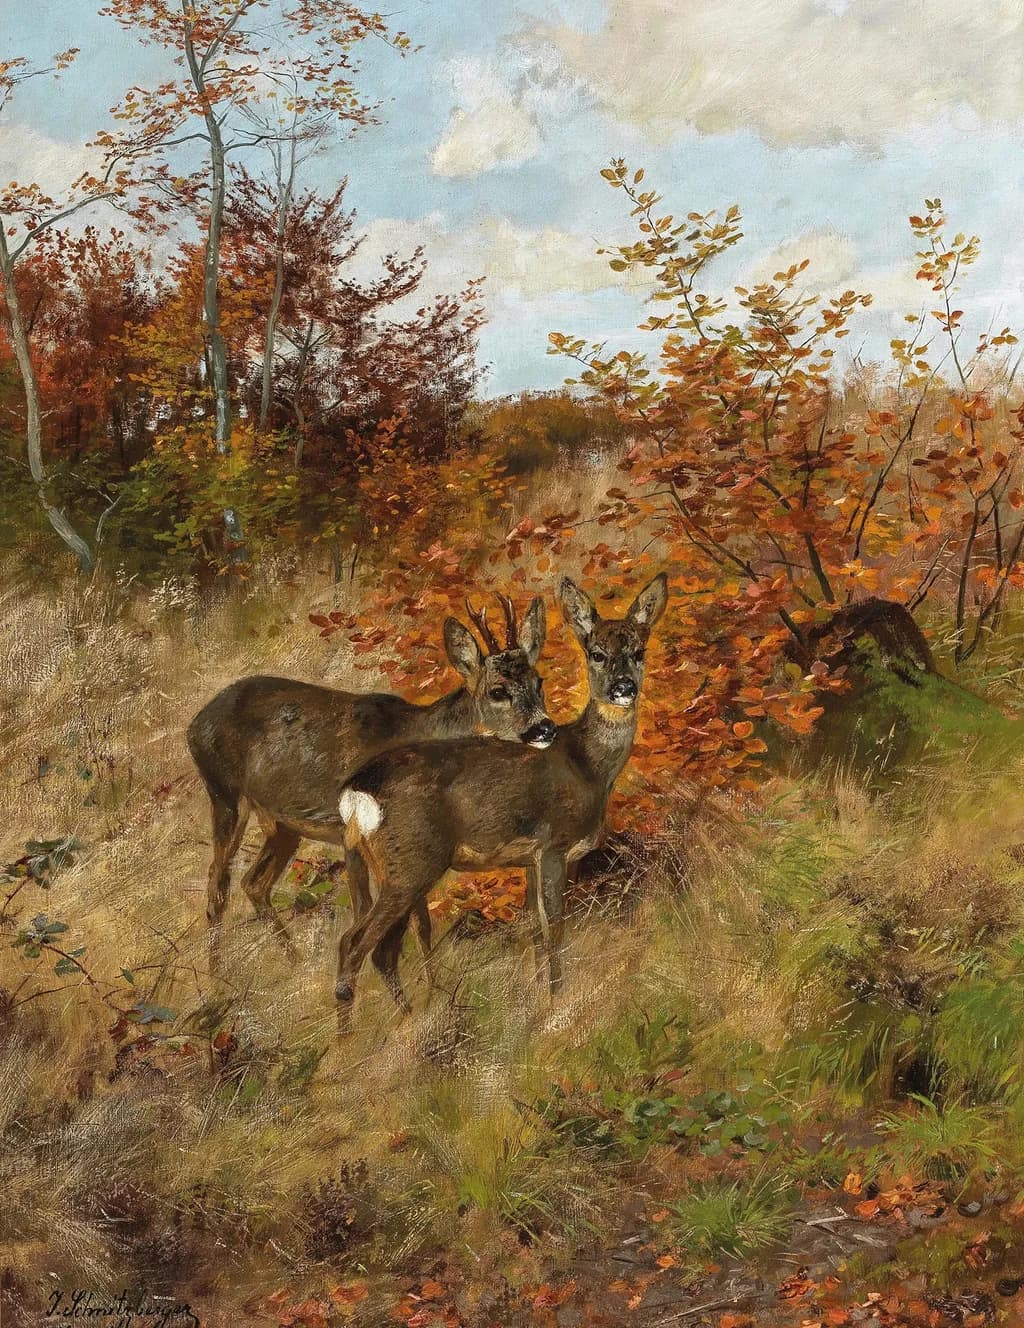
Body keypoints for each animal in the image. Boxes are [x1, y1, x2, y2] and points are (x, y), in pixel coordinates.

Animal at [187, 594, 555, 964]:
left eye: (538, 683)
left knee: (253, 883)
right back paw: (217, 973)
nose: (545, 728)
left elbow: (418, 924)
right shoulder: (359, 834)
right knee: (217, 883)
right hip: (224, 792)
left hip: (282, 824)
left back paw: (294, 962)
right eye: (497, 691)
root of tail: (195, 723)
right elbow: (380, 915)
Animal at [333, 573, 668, 1020]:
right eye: (596, 653)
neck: (587, 765)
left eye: (638, 651)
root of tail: (356, 793)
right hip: (410, 864)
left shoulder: (531, 858)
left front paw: (536, 994)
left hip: (378, 864)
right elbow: (555, 926)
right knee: (359, 946)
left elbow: (534, 929)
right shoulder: (554, 845)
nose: (623, 687)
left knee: (367, 946)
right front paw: (556, 1000)